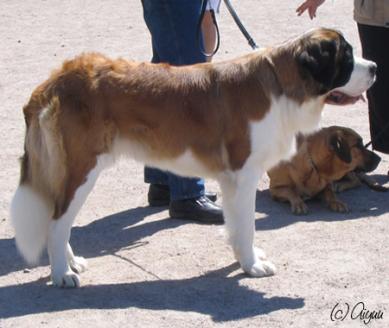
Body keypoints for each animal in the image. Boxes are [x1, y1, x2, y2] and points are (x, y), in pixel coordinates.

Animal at [11, 29, 376, 288]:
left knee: (57, 218)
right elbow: (247, 225)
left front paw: (244, 259)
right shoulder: (244, 174)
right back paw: (62, 274)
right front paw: (252, 267)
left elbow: (237, 225)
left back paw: (70, 263)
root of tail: (56, 80)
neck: (280, 86)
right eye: (346, 57)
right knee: (57, 222)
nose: (374, 67)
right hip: (81, 168)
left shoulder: (232, 180)